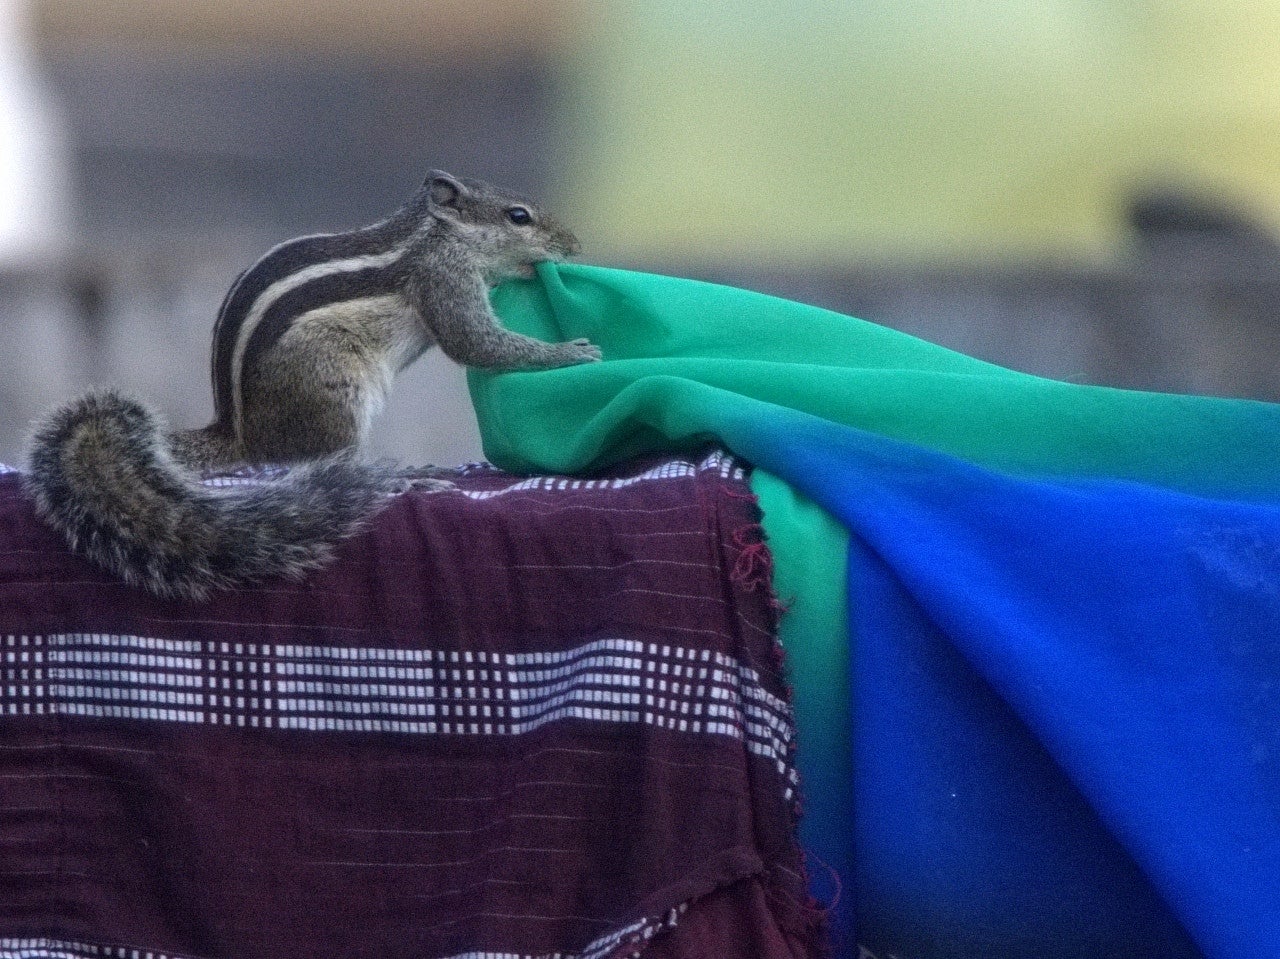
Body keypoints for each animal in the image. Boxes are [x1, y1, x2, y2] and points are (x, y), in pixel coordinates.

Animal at [25, 170, 599, 602]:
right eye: (517, 216)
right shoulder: (444, 278)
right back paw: (404, 479)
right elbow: (475, 342)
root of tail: (241, 435)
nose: (574, 246)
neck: (434, 234)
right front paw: (570, 353)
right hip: (334, 391)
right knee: (327, 462)